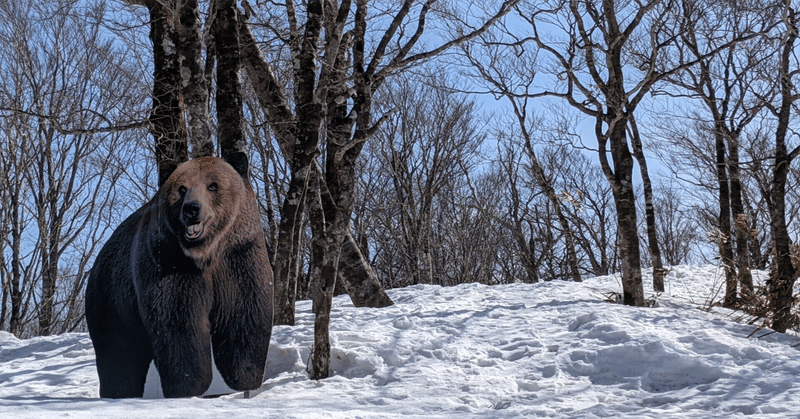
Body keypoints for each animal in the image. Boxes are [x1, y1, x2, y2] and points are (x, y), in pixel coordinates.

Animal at [84, 155, 272, 400]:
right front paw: (189, 385)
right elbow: (179, 324)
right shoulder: (169, 265)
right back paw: (118, 393)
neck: (206, 254)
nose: (192, 208)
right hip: (112, 300)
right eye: (182, 188)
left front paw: (245, 377)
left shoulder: (239, 258)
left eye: (213, 185)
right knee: (119, 353)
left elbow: (244, 315)